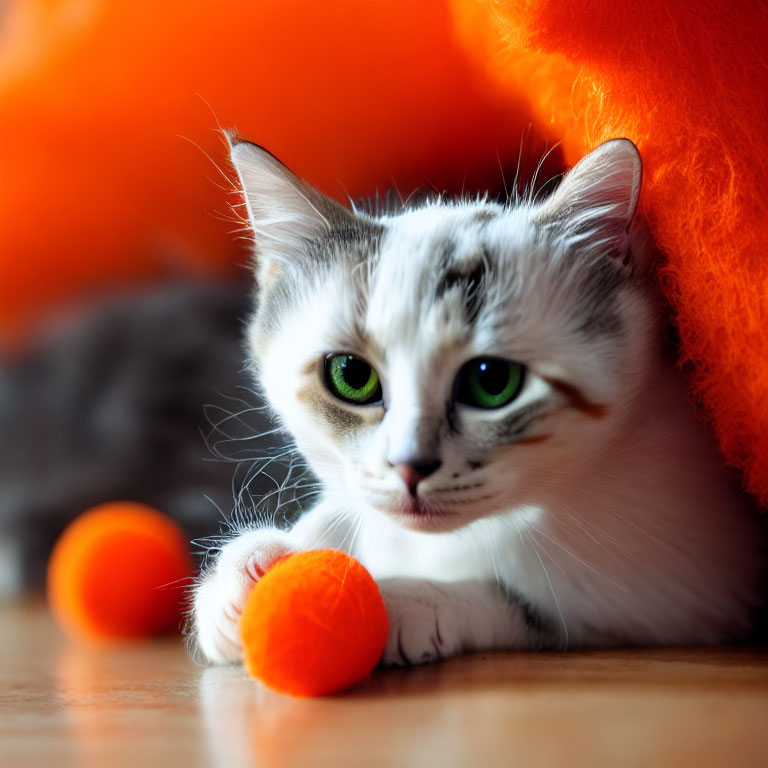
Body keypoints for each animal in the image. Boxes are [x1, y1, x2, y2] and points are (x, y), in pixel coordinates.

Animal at [194, 135, 760, 664]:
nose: (409, 466)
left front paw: (384, 598)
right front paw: (244, 574)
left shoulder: (675, 587)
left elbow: (514, 599)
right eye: (351, 375)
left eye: (491, 381)